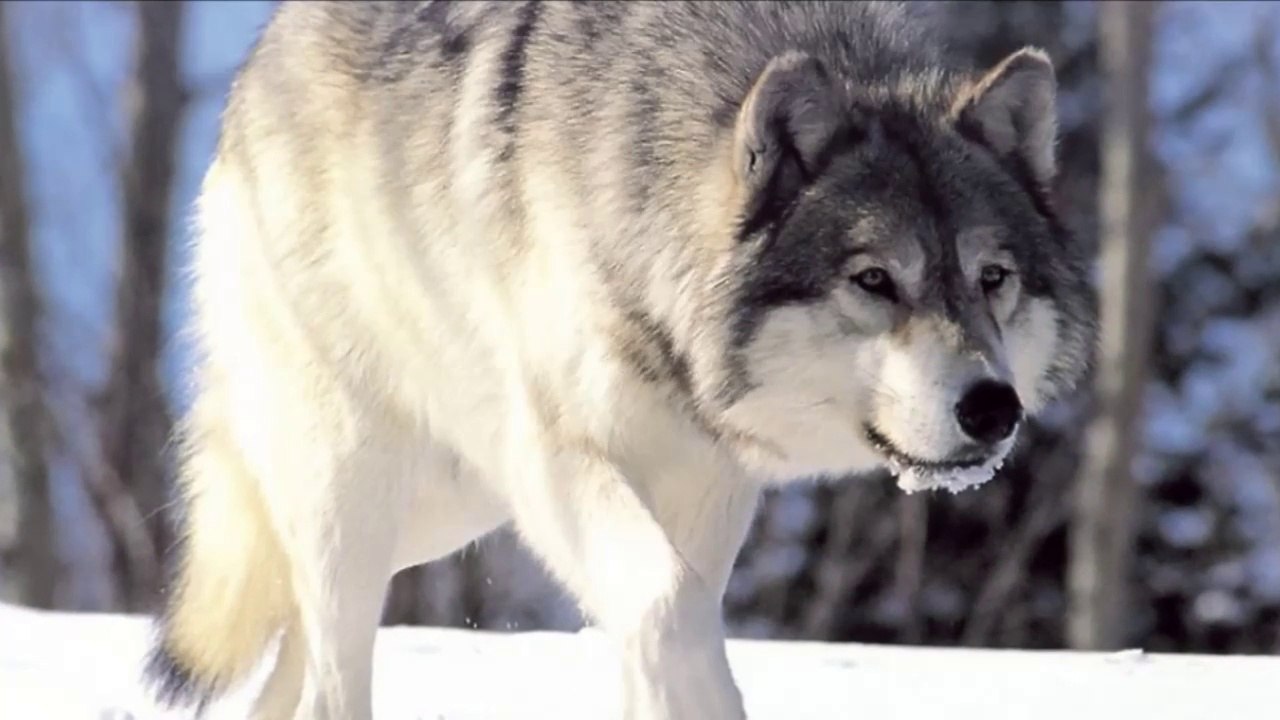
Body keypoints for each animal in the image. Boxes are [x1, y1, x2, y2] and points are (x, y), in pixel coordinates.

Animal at [145, 1, 1095, 718]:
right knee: (330, 670)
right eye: (875, 280)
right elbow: (669, 608)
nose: (993, 409)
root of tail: (262, 56)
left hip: (448, 508)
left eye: (992, 279)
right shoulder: (557, 457)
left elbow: (674, 618)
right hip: (364, 485)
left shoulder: (708, 485)